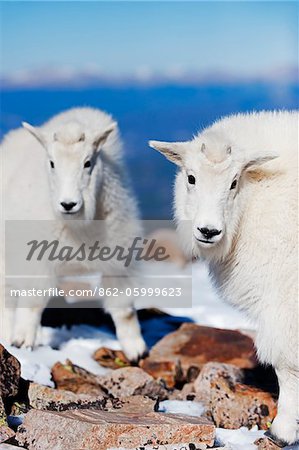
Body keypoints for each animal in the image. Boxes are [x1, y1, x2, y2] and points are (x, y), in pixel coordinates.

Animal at [0, 106, 148, 362]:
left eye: (88, 163)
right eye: (51, 163)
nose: (68, 204)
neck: (79, 226)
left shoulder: (118, 259)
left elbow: (124, 308)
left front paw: (136, 351)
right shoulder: (36, 262)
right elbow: (32, 302)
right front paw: (22, 342)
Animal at [151, 110, 298, 446]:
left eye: (233, 182)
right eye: (191, 177)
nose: (209, 231)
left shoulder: (286, 301)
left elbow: (286, 365)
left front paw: (281, 432)